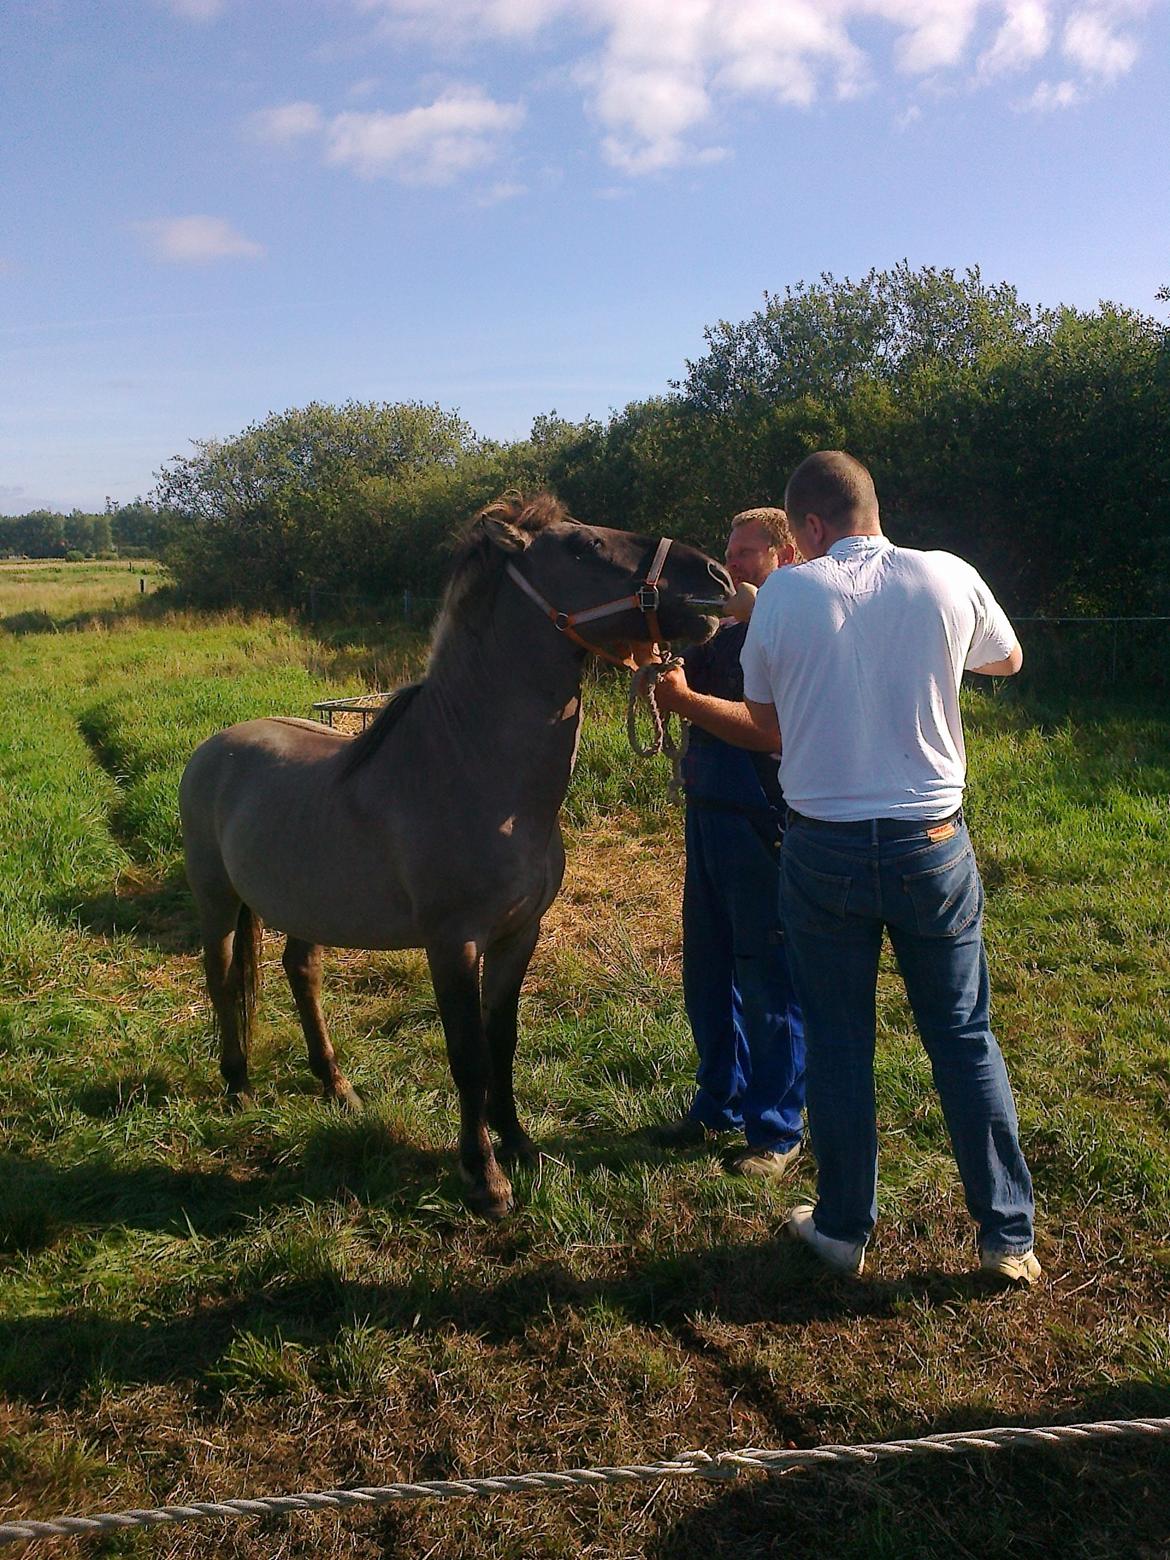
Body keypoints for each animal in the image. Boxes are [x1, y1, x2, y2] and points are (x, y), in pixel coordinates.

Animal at [180, 492, 733, 1210]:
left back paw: (337, 1087)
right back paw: (237, 1085)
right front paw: (484, 1177)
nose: (715, 577)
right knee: (222, 979)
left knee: (302, 972)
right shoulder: (452, 942)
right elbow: (467, 1055)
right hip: (217, 900)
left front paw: (520, 1145)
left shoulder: (518, 934)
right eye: (582, 546)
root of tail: (214, 748)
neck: (473, 769)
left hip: (307, 907)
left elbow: (502, 1043)